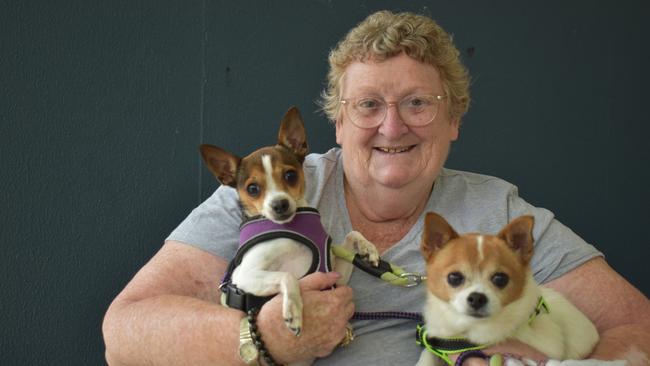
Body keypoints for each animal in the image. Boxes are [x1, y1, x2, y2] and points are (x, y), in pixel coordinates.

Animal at [200, 106, 378, 340]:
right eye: (252, 189)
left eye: (290, 175)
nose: (280, 204)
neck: (292, 227)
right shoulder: (245, 275)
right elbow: (287, 276)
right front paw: (293, 311)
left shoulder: (334, 277)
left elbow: (352, 234)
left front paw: (368, 248)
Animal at [416, 212, 624, 366]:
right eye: (454, 278)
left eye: (500, 279)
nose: (477, 298)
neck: (471, 330)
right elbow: (428, 355)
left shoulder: (545, 347)